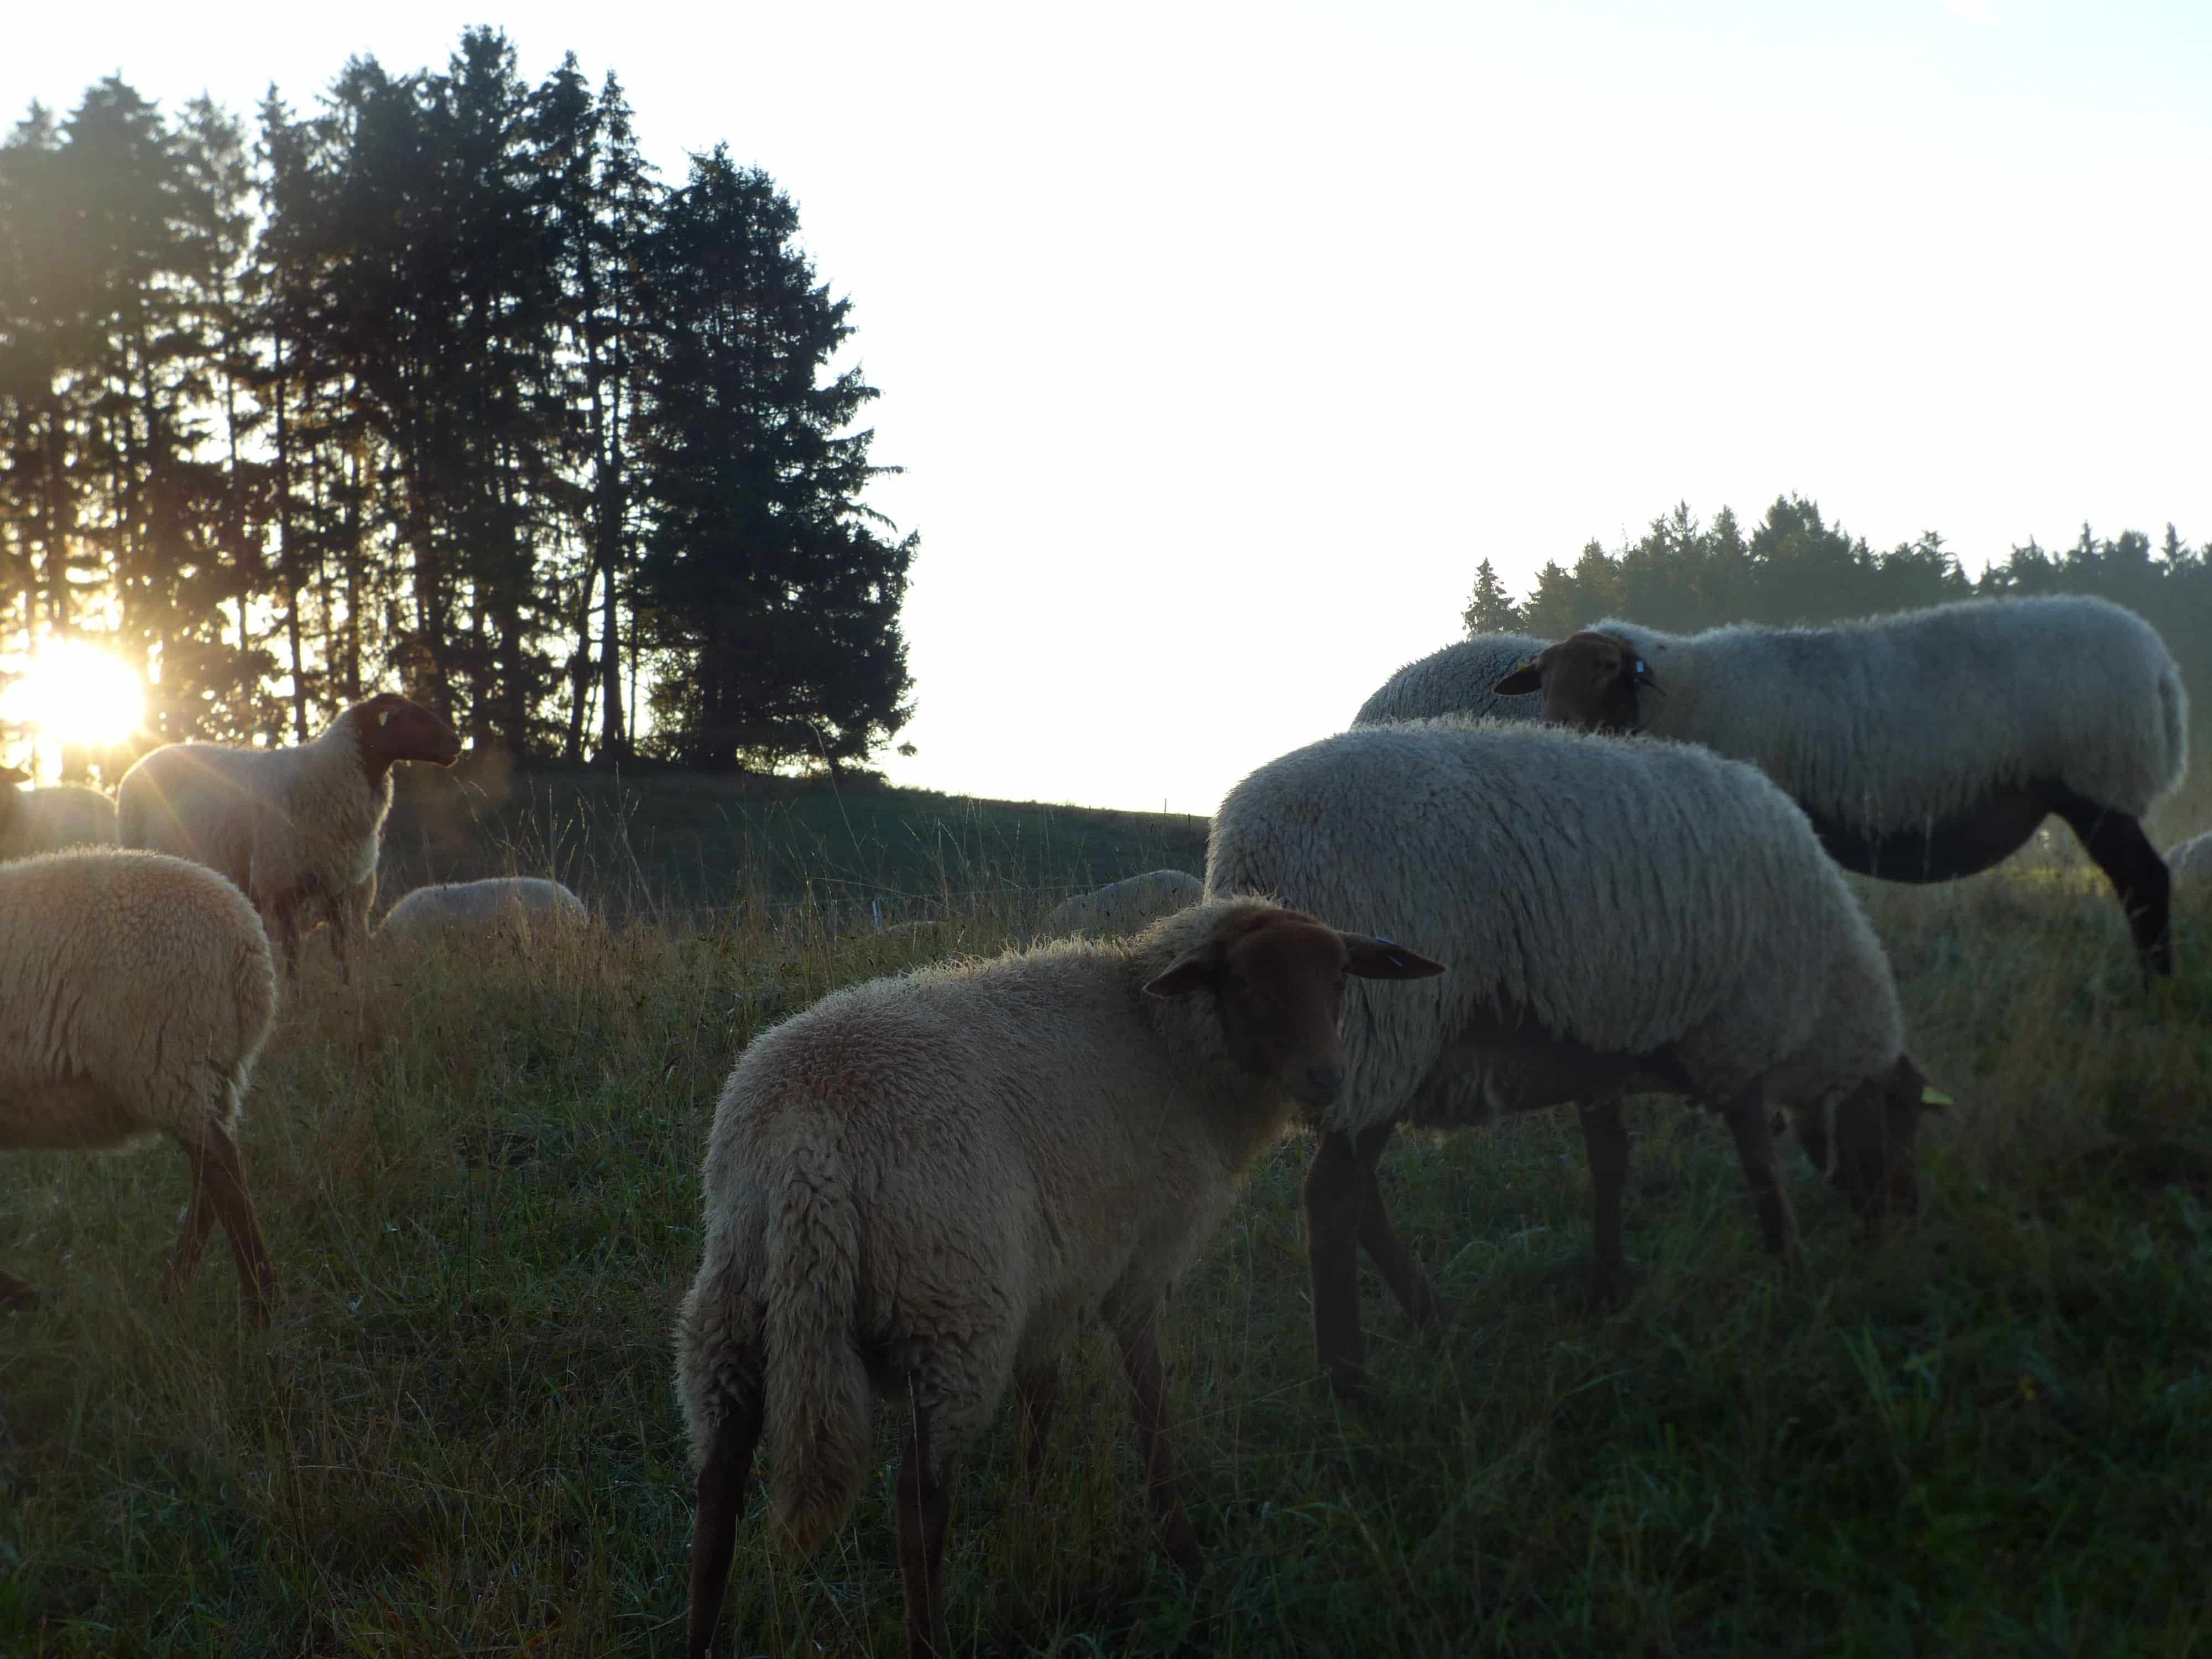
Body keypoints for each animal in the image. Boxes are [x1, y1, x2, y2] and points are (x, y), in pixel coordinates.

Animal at [0, 849, 280, 1321]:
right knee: (209, 1180)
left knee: (223, 1171)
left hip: (166, 1060)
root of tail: (248, 945)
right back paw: (176, 1292)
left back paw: (259, 1306)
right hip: (209, 1075)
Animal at [117, 693, 463, 977]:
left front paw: (351, 993)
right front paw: (295, 1000)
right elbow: (293, 955)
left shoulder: (342, 888)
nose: (457, 742)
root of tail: (142, 761)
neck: (325, 776)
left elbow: (343, 954)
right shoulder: (280, 885)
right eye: (406, 715)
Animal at [675, 897, 1445, 1658]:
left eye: (1341, 977)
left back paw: (702, 1634)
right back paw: (930, 1638)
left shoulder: (1051, 1281)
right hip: (950, 1310)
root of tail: (806, 1140)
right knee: (919, 1500)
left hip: (734, 1308)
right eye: (1248, 984)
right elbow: (1149, 1402)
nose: (1329, 1079)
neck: (1161, 1039)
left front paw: (1030, 1507)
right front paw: (1184, 1553)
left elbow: (1041, 1401)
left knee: (718, 1490)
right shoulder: (1139, 1262)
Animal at [1206, 717, 1948, 1397]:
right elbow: (1758, 1159)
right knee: (1333, 1199)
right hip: (1383, 1030)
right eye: (1903, 1116)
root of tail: (1246, 847)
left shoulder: (1602, 1047)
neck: (1826, 1004)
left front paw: (1608, 1285)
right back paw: (1353, 1384)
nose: (1904, 1223)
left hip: (1367, 1057)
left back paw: (1433, 1321)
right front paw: (1792, 1267)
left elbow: (1609, 1161)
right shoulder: (1735, 1026)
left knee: (1360, 1199)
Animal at [1494, 595, 2189, 976]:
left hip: (2097, 784)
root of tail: (2160, 664)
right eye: (1542, 675)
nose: (1554, 732)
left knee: (2144, 883)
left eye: (1607, 667)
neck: (1682, 693)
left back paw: (2153, 988)